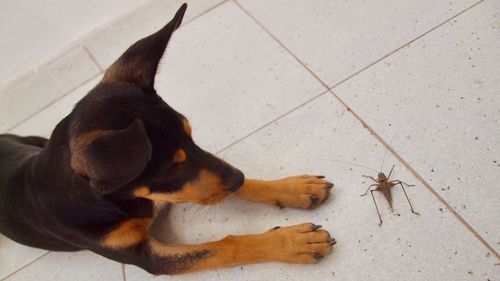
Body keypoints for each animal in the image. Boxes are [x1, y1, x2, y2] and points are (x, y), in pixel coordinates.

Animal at [0, 3, 336, 274]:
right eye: (172, 167)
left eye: (191, 135)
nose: (238, 178)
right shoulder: (145, 256)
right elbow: (223, 247)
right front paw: (292, 242)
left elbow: (215, 177)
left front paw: (294, 187)